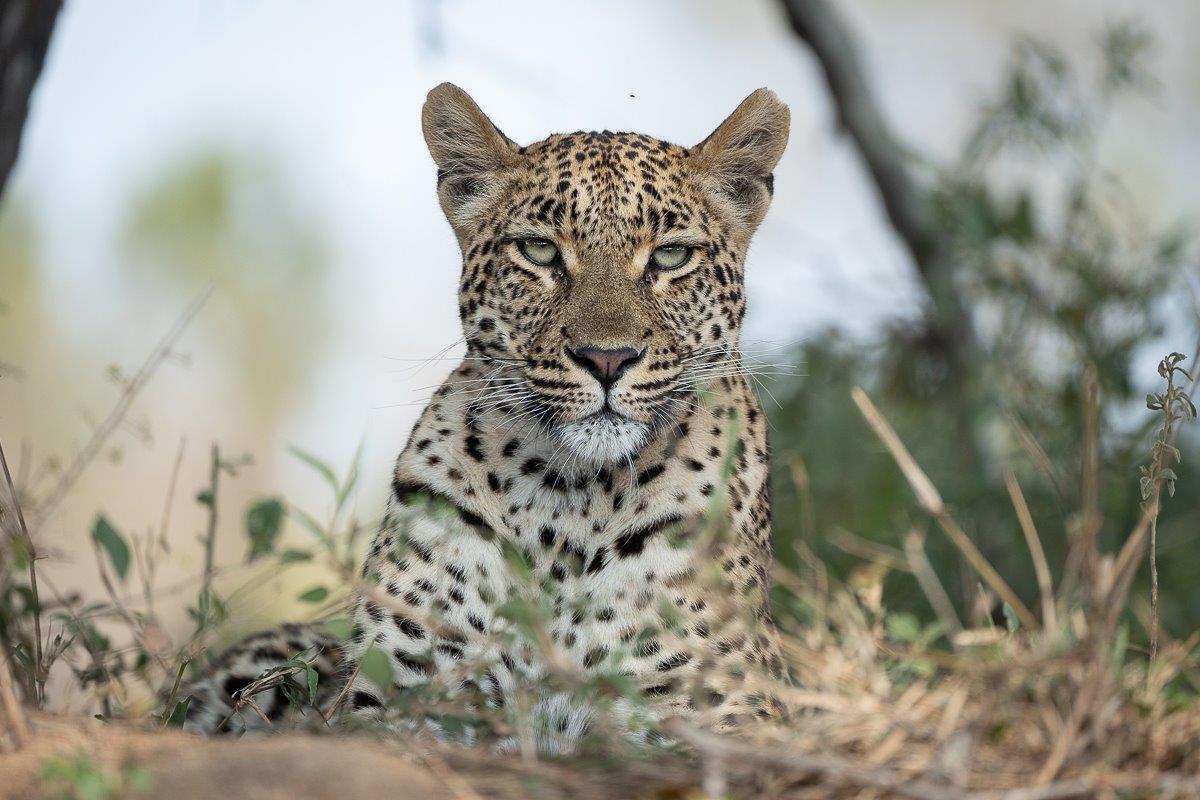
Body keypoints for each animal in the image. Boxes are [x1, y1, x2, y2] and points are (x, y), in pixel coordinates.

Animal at [177, 82, 792, 753]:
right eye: (539, 250)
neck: (574, 500)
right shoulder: (398, 695)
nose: (606, 358)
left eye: (672, 256)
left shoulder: (716, 715)